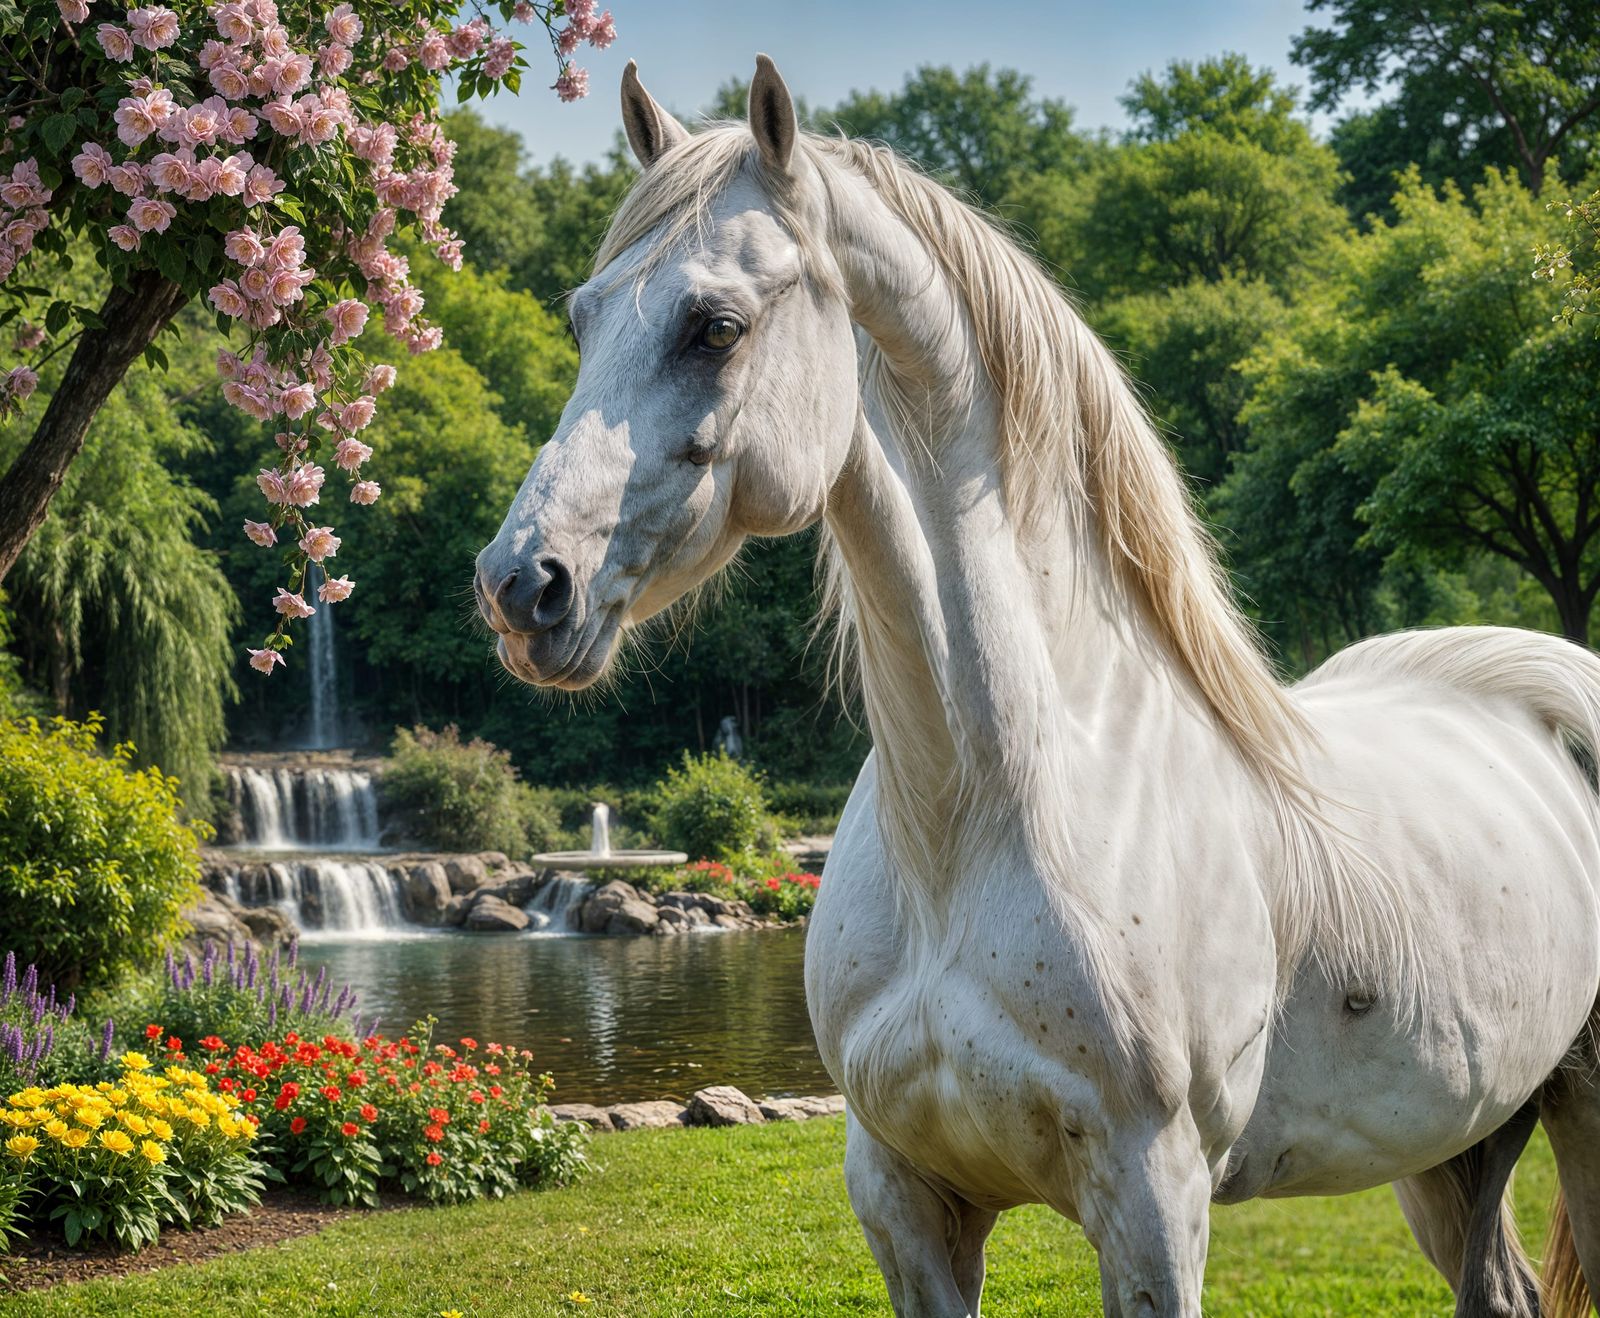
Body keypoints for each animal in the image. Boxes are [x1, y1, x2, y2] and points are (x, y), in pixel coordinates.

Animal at [474, 56, 1600, 1317]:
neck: (985, 820)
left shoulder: (1154, 1202)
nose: (523, 585)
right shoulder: (905, 1198)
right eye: (580, 318)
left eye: (714, 326)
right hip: (1459, 1142)